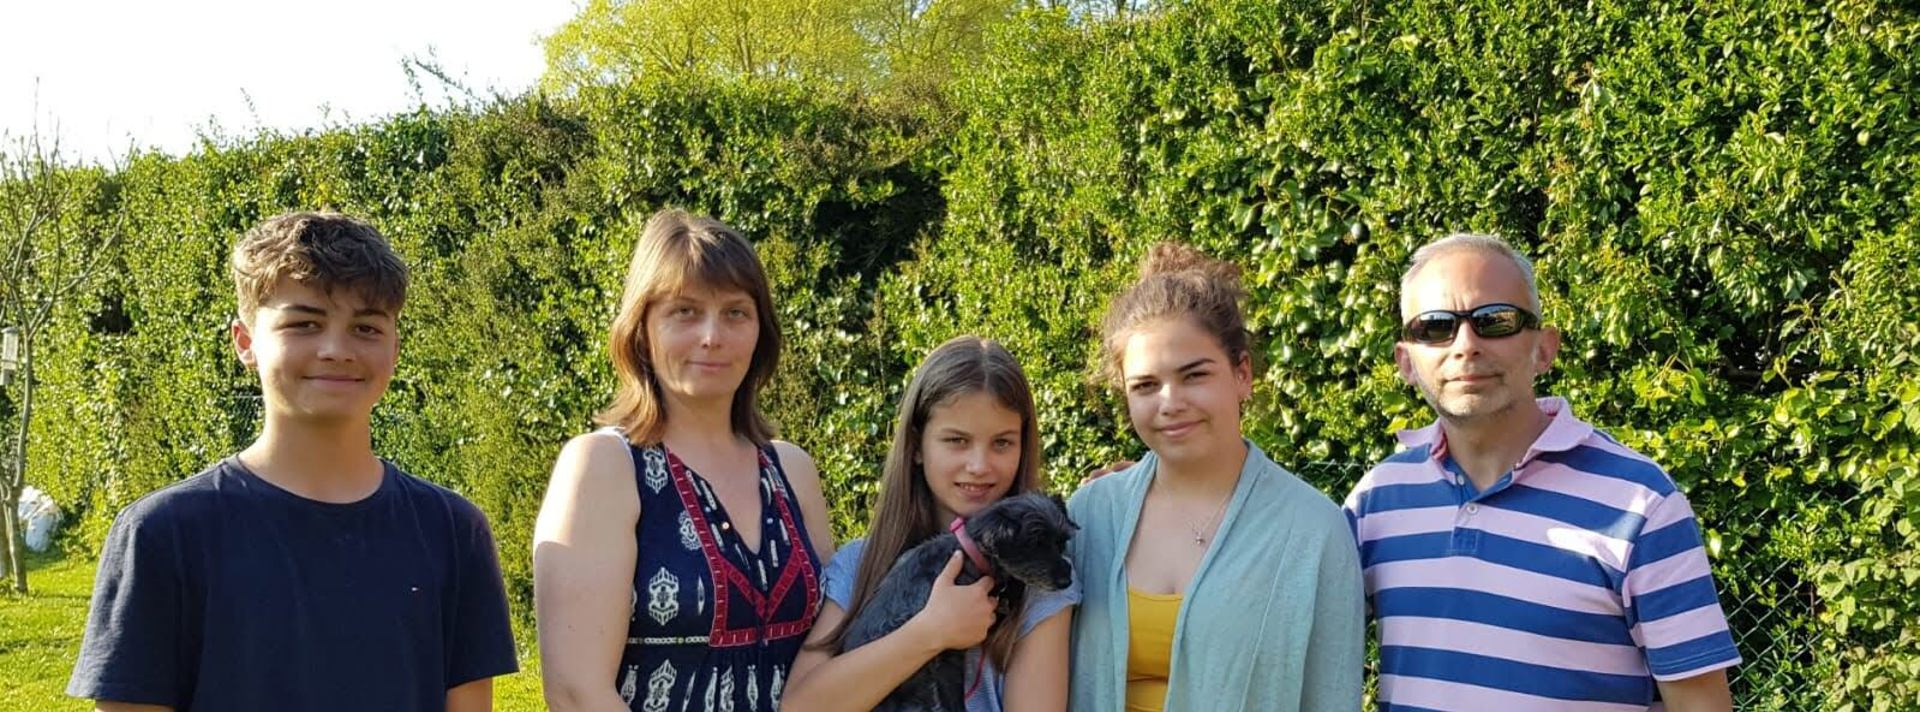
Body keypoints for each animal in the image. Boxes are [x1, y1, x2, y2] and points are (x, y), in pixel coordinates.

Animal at [840, 495, 1082, 710]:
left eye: (1061, 542)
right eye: (1034, 544)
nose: (1067, 580)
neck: (967, 554)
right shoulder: (946, 656)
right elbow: (952, 698)